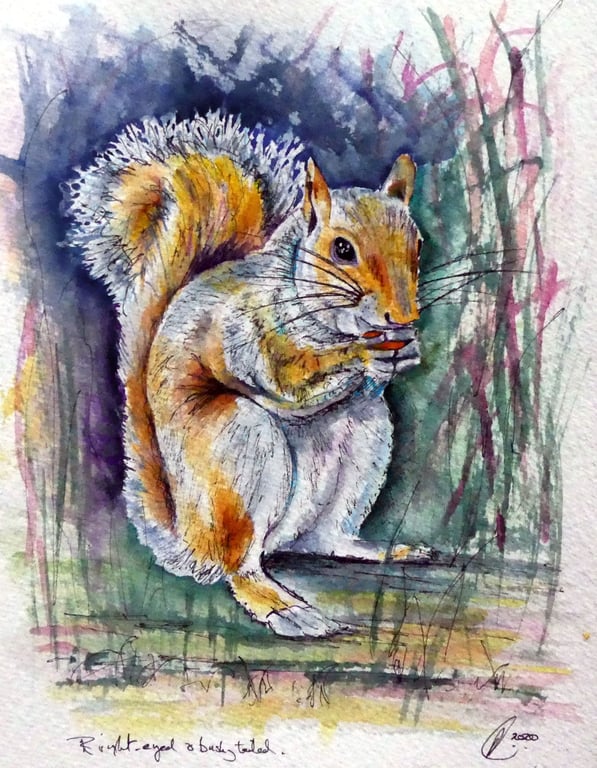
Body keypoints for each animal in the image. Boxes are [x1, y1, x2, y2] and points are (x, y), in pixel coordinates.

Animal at [65, 111, 430, 638]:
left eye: (418, 244)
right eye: (342, 249)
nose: (402, 318)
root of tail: (188, 542)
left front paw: (407, 351)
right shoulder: (245, 331)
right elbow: (287, 378)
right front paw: (362, 355)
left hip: (366, 435)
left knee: (323, 539)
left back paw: (380, 549)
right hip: (241, 446)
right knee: (237, 564)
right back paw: (282, 606)